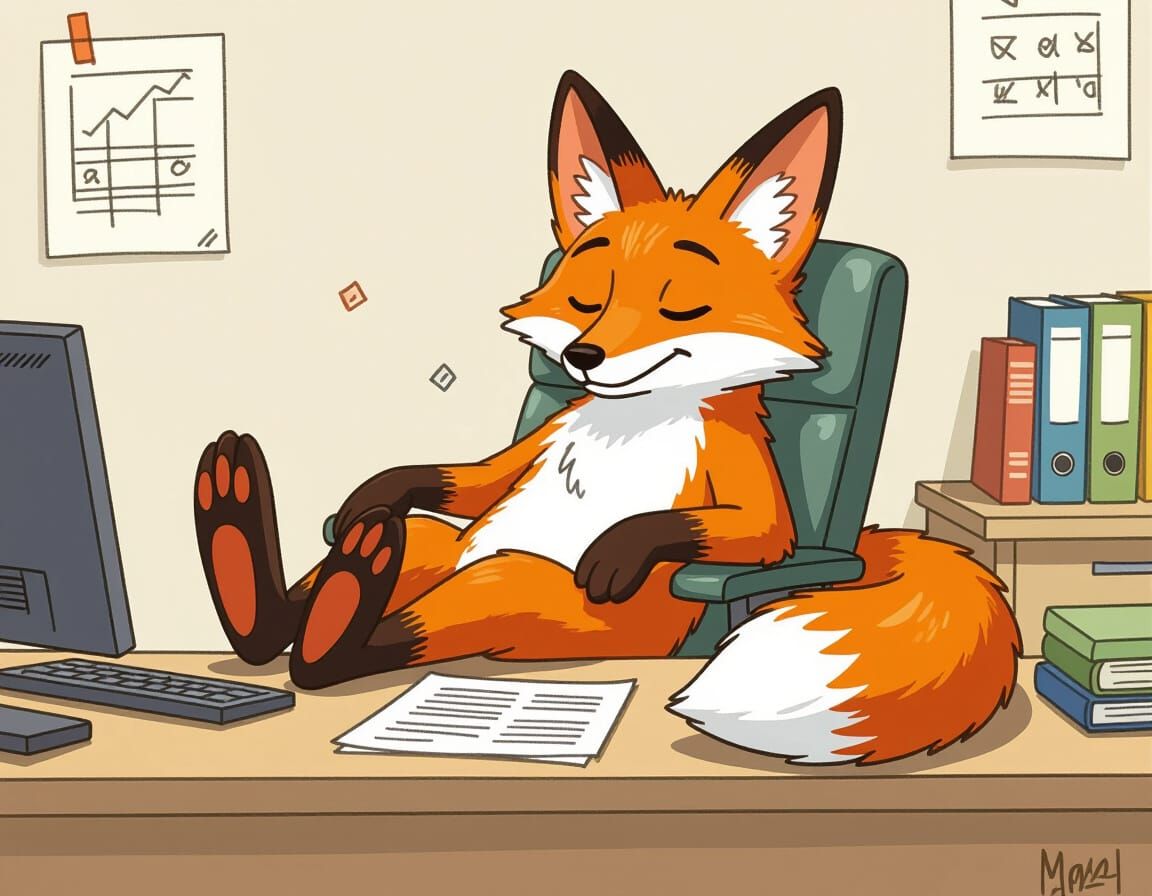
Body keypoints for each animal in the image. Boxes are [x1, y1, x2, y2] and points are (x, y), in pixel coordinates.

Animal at [193, 70, 1021, 765]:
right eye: (588, 295)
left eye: (679, 302)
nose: (584, 357)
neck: (632, 418)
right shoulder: (534, 440)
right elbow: (467, 478)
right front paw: (378, 485)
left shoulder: (748, 493)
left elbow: (752, 529)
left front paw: (621, 545)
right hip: (438, 550)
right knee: (395, 540)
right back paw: (252, 558)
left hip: (532, 594)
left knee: (420, 615)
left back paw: (331, 631)